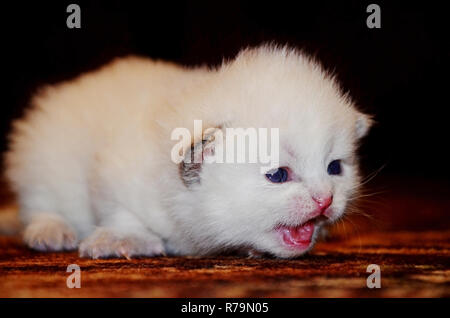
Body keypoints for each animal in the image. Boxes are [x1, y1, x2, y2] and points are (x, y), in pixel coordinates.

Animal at [5, 44, 370, 258]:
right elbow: (119, 210)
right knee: (40, 202)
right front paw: (124, 239)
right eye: (278, 175)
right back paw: (51, 230)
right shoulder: (114, 173)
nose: (325, 200)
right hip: (44, 157)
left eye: (335, 168)